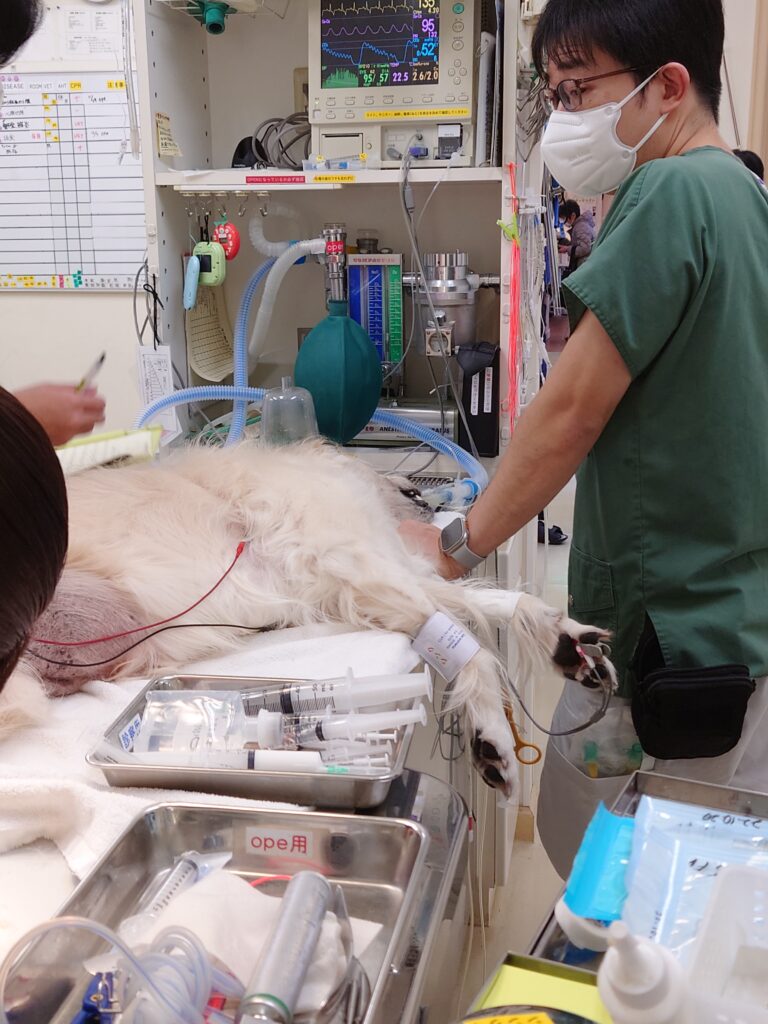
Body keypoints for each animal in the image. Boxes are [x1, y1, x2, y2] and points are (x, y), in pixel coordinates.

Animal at [13, 442, 614, 798]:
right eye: (409, 485)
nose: (428, 497)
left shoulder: (348, 580)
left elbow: (489, 603)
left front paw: (563, 639)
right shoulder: (354, 562)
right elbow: (476, 647)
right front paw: (492, 735)